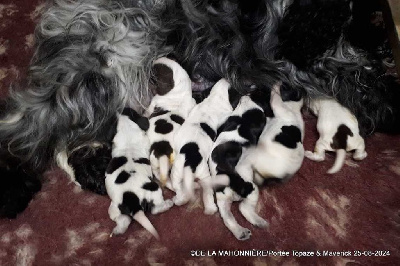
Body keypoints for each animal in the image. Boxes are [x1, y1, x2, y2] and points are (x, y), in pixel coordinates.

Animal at [105, 108, 173, 239]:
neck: (126, 127)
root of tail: (134, 204)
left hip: (114, 209)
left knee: (123, 220)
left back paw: (117, 230)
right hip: (154, 190)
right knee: (155, 209)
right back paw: (168, 204)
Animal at [147, 57, 197, 188]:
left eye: (154, 77)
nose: (151, 62)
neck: (179, 93)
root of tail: (163, 150)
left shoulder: (155, 100)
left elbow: (149, 108)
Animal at [170, 78, 239, 209]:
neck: (215, 98)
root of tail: (191, 163)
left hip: (176, 170)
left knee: (177, 186)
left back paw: (179, 200)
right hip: (204, 174)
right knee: (207, 192)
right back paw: (211, 208)